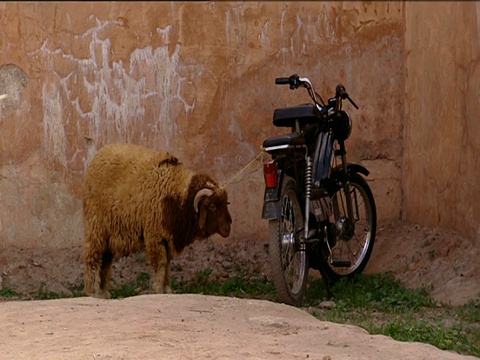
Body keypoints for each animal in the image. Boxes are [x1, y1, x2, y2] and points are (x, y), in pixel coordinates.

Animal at [83, 143, 232, 298]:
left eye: (226, 203)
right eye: (212, 206)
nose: (228, 227)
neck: (176, 196)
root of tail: (97, 157)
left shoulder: (167, 239)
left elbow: (167, 264)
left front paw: (167, 289)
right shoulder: (156, 237)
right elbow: (161, 263)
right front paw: (159, 289)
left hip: (108, 234)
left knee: (105, 261)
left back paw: (103, 293)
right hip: (96, 227)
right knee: (93, 257)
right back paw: (93, 291)